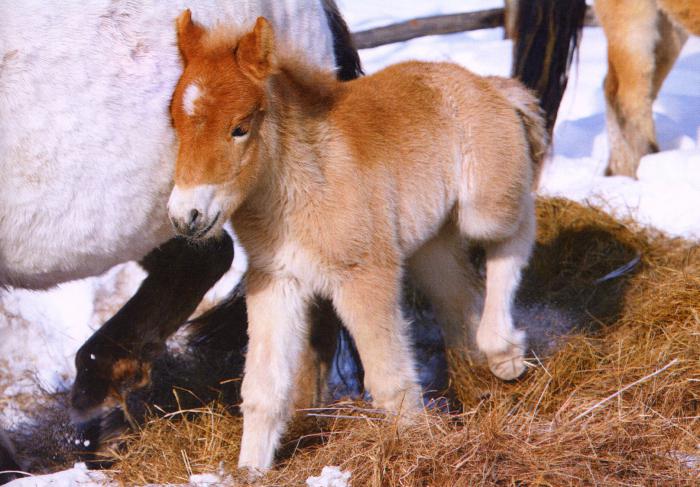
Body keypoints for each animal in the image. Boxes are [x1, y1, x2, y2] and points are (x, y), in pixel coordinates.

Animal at [168, 13, 548, 474]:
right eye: (175, 123)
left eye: (240, 128)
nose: (186, 216)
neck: (302, 185)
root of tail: (488, 83)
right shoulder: (277, 281)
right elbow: (263, 390)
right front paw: (249, 471)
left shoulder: (364, 275)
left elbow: (389, 380)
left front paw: (418, 453)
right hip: (430, 245)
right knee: (459, 293)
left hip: (484, 209)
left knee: (516, 233)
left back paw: (504, 353)